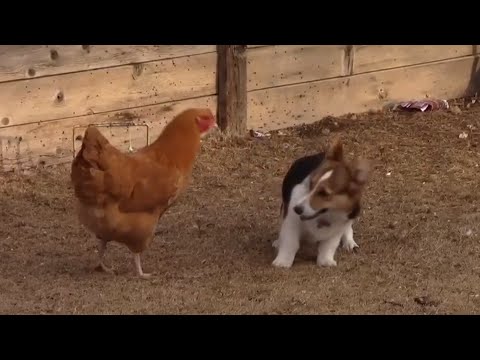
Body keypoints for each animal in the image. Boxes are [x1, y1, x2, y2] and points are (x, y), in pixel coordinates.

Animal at [272, 138, 370, 268]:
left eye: (324, 193)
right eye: (311, 184)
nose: (297, 209)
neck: (324, 216)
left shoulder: (338, 227)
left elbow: (328, 246)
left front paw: (325, 261)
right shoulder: (291, 222)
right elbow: (290, 242)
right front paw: (283, 262)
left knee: (348, 229)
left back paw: (350, 242)